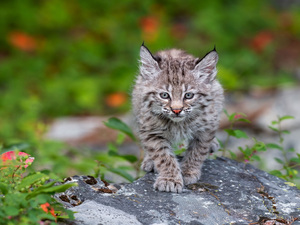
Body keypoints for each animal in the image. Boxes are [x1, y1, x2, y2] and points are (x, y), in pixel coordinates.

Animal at [131, 43, 223, 192]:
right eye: (164, 95)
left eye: (188, 95)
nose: (176, 110)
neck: (179, 123)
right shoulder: (150, 129)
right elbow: (163, 155)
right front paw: (170, 179)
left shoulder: (206, 128)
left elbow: (197, 151)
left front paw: (188, 172)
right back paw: (149, 160)